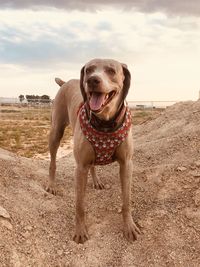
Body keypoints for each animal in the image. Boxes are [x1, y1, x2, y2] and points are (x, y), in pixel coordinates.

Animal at [47, 59, 141, 245]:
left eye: (111, 70)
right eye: (89, 70)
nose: (92, 80)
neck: (105, 123)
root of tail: (65, 82)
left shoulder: (127, 164)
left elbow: (126, 201)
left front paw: (129, 227)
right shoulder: (80, 167)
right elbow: (79, 205)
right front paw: (80, 231)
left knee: (93, 164)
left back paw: (96, 181)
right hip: (56, 131)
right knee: (53, 161)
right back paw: (51, 184)